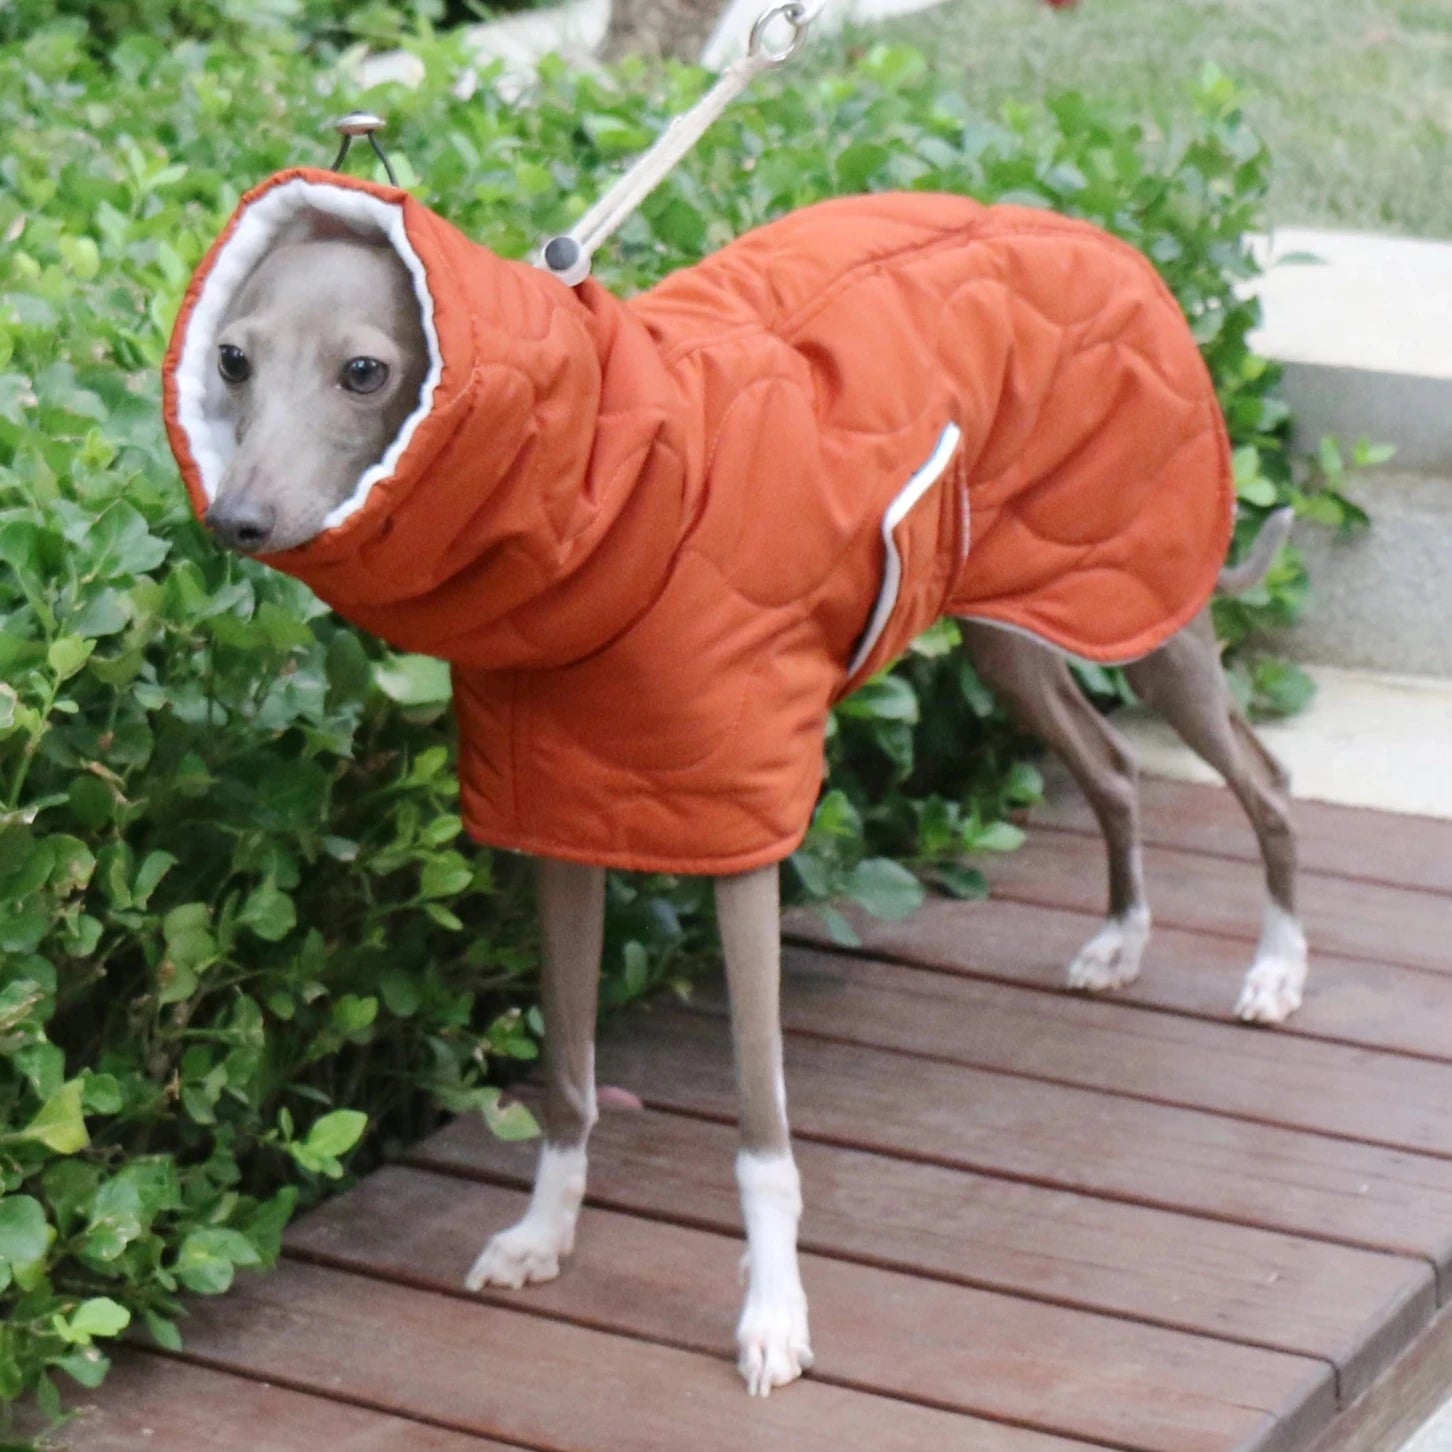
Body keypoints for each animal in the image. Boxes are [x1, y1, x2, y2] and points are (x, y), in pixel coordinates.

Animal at [164, 166, 1312, 1393]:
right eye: (231, 359)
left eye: (365, 370)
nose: (236, 520)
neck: (612, 495)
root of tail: (1100, 239)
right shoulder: (562, 829)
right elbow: (567, 1076)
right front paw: (544, 1234)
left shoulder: (742, 840)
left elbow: (763, 1135)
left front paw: (773, 1315)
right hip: (1018, 628)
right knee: (1115, 769)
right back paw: (1123, 938)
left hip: (1145, 605)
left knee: (1267, 781)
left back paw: (1277, 968)